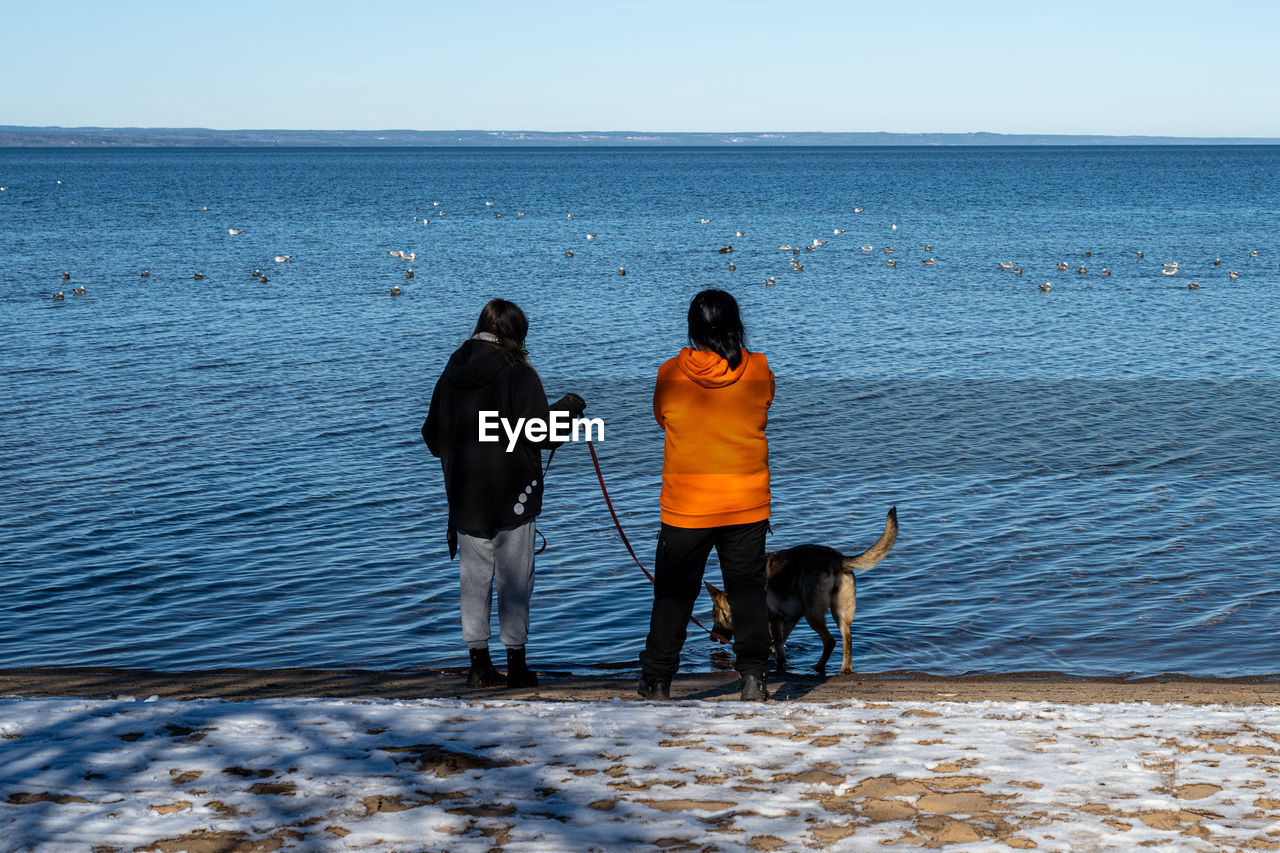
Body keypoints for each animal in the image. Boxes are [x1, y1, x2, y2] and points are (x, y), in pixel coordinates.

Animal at [706, 504, 896, 671]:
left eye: (715, 615)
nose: (711, 638)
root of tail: (837, 559)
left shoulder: (774, 619)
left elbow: (778, 644)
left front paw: (779, 664)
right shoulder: (790, 618)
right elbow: (780, 642)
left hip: (813, 615)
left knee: (830, 641)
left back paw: (819, 666)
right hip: (840, 613)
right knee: (847, 638)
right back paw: (845, 668)